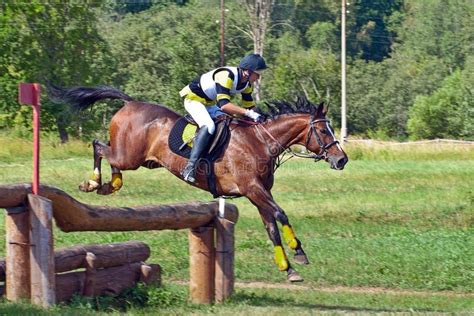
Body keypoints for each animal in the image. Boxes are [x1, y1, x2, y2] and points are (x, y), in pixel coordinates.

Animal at [49, 84, 348, 282]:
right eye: (323, 131)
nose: (342, 159)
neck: (261, 142)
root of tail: (130, 103)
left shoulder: (259, 194)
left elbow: (271, 227)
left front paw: (289, 269)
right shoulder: (253, 189)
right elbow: (280, 214)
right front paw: (299, 252)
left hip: (139, 159)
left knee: (109, 154)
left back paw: (111, 185)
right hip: (129, 156)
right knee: (98, 146)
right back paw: (93, 183)